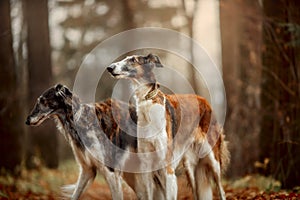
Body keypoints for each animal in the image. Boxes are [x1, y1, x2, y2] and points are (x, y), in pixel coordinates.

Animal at [106, 53, 229, 200]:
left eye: (133, 60)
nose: (109, 67)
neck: (147, 102)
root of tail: (204, 100)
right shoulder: (146, 168)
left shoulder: (167, 169)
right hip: (190, 166)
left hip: (212, 158)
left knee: (221, 190)